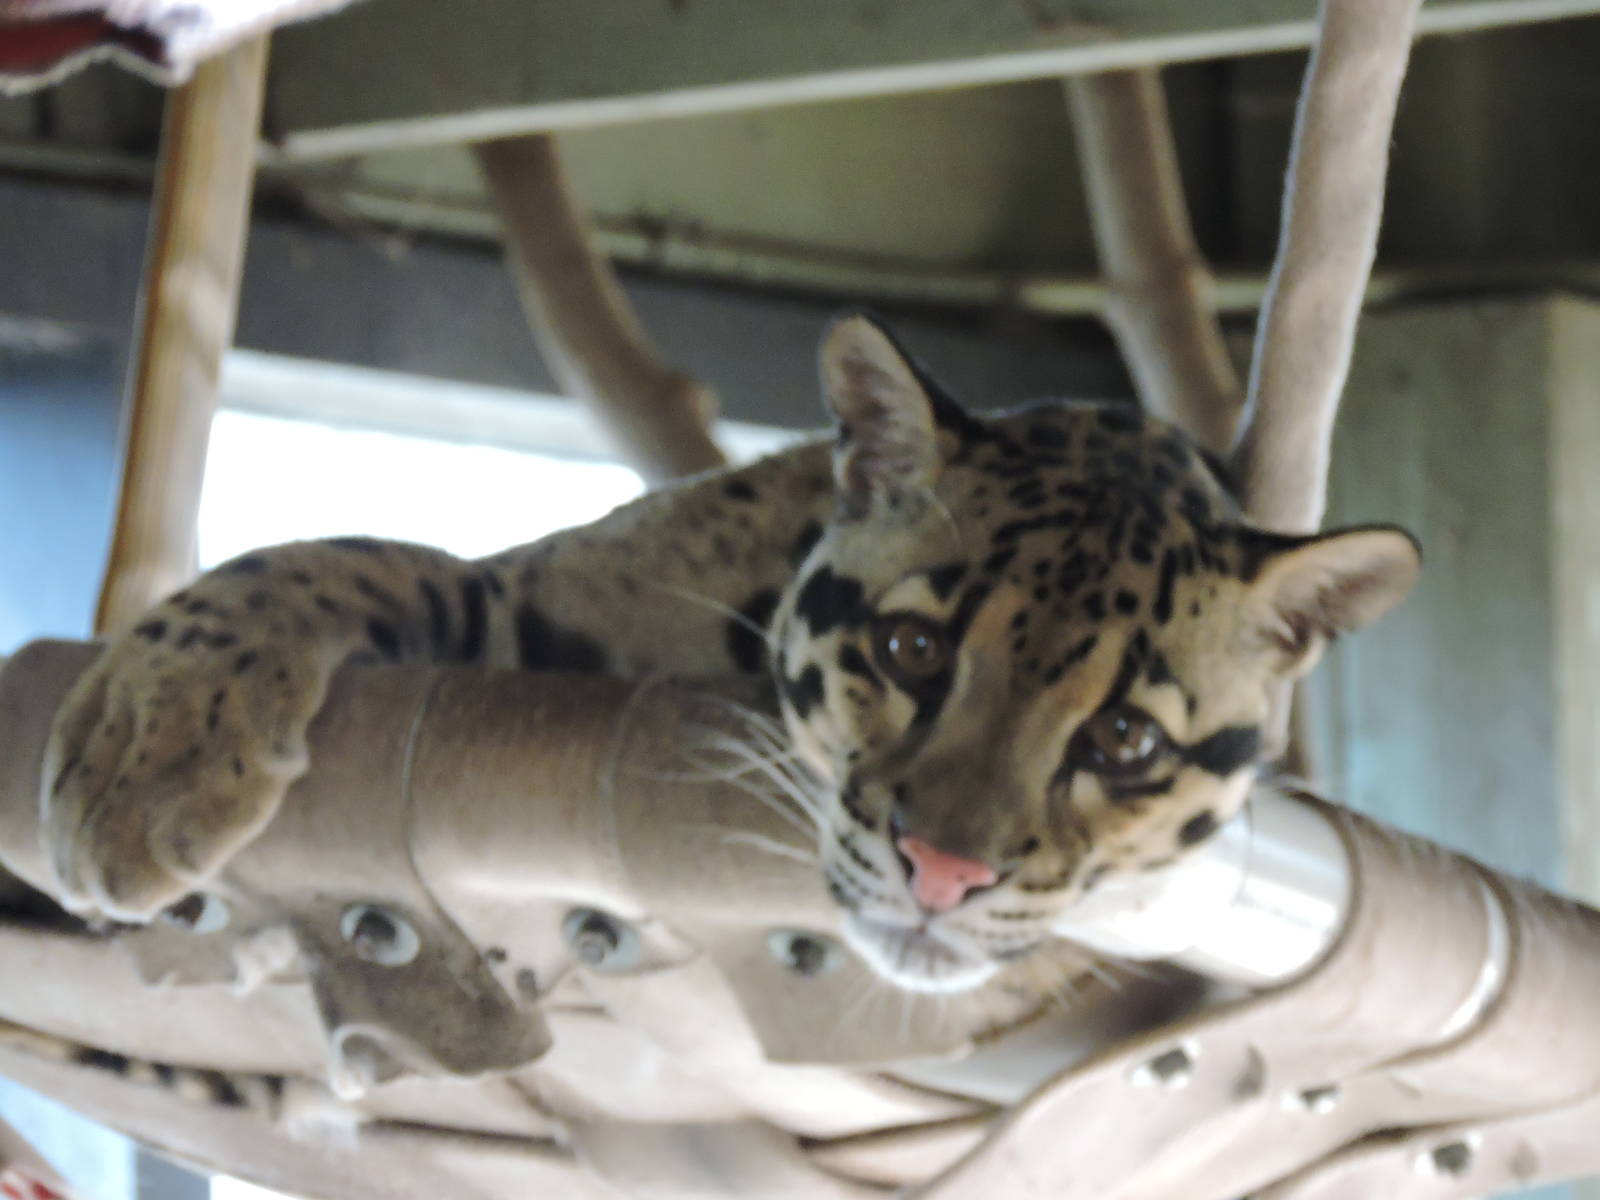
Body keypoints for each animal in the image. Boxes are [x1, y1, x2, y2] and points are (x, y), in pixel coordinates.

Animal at [38, 313, 1419, 997]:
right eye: (912, 648)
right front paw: (147, 747)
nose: (944, 872)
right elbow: (355, 556)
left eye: (1124, 737)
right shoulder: (519, 602)